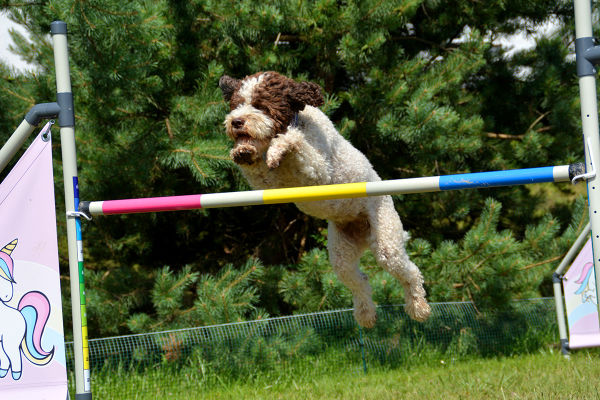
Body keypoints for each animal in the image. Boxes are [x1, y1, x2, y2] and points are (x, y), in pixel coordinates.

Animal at [220, 72, 432, 328]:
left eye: (261, 105)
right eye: (237, 104)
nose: (236, 122)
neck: (296, 119)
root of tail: (362, 230)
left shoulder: (318, 172)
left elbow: (295, 141)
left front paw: (277, 146)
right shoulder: (268, 184)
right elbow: (258, 168)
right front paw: (243, 151)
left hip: (385, 236)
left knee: (410, 272)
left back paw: (418, 307)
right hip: (342, 251)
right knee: (360, 280)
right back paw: (366, 315)